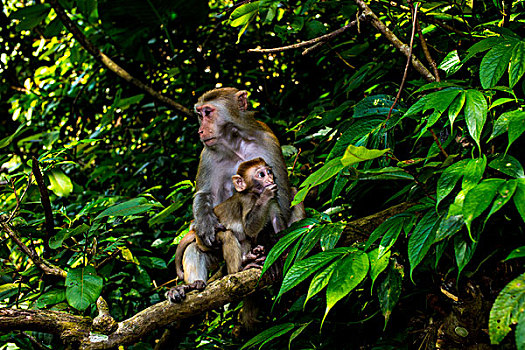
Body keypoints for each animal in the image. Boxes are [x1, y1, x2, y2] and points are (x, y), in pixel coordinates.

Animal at [168, 157, 284, 302]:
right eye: (261, 174)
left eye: (269, 172)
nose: (270, 179)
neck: (254, 194)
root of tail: (195, 229)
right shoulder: (247, 200)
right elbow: (250, 228)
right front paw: (266, 194)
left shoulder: (274, 201)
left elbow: (277, 224)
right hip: (205, 241)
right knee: (225, 235)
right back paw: (239, 269)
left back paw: (249, 256)